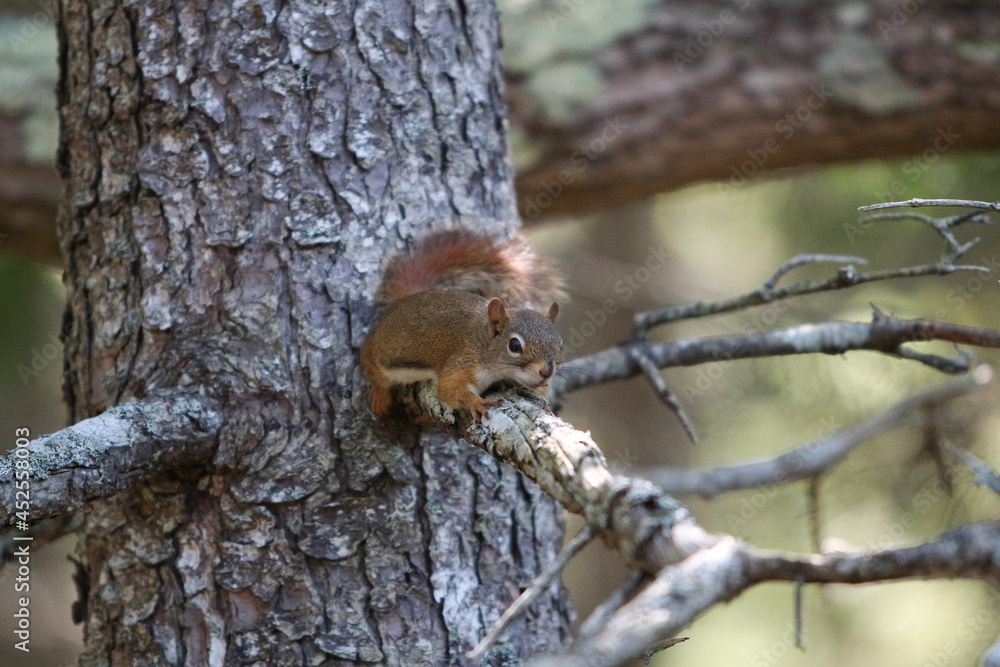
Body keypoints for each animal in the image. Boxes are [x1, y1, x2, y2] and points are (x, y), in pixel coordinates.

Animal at [361, 229, 564, 418]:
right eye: (514, 345)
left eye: (560, 345)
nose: (546, 372)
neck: (481, 340)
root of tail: (400, 302)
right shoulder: (462, 361)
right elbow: (449, 389)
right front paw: (477, 402)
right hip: (376, 357)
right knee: (375, 375)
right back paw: (379, 395)